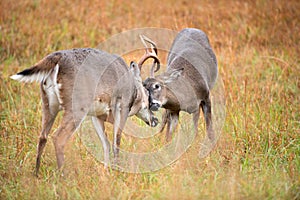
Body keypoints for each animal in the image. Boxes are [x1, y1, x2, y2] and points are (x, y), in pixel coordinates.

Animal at [10, 38, 159, 175]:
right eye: (148, 93)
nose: (155, 120)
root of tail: (57, 58)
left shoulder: (96, 115)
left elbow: (106, 144)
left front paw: (107, 172)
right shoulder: (122, 106)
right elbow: (116, 141)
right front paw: (117, 172)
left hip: (48, 103)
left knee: (42, 136)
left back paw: (36, 175)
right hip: (77, 105)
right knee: (58, 137)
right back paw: (63, 176)